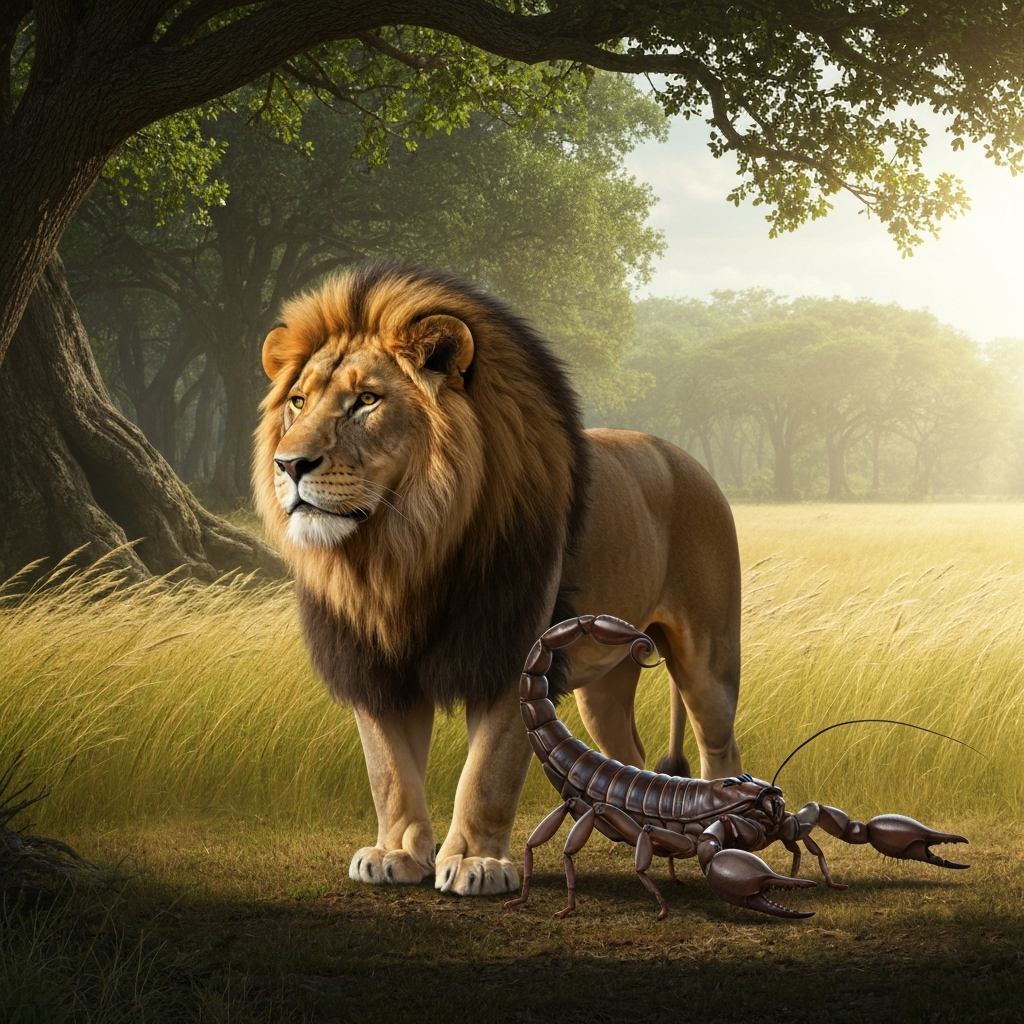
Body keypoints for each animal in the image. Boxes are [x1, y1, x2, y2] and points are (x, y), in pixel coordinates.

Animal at [255, 264, 742, 896]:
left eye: (366, 400)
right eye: (297, 402)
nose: (289, 464)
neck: (400, 552)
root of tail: (688, 460)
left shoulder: (513, 650)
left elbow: (487, 771)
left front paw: (475, 863)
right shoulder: (371, 663)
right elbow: (389, 770)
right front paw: (396, 854)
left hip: (709, 659)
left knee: (720, 746)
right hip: (605, 682)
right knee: (625, 749)